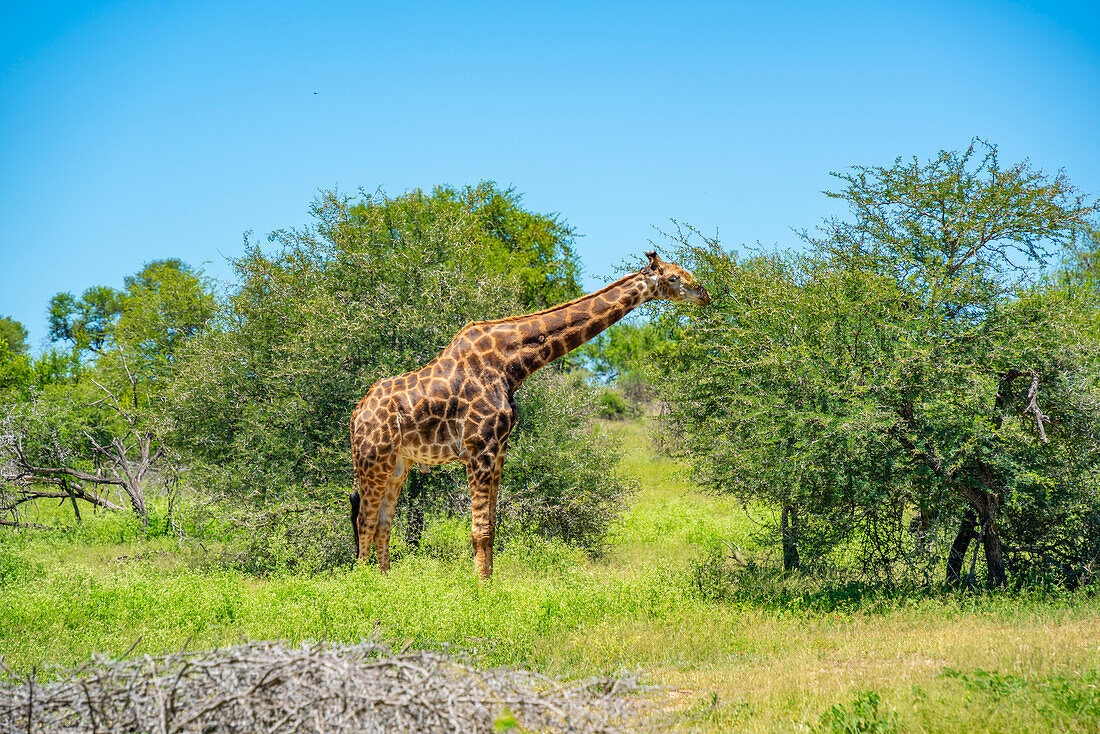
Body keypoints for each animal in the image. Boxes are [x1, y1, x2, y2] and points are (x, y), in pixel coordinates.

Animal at [352, 253, 712, 581]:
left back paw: (385, 581)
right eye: (674, 277)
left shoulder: (499, 449)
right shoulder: (479, 448)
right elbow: (479, 531)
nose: (704, 292)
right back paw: (363, 586)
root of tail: (356, 414)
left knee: (383, 521)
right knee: (364, 519)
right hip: (374, 457)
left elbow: (492, 527)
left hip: (399, 463)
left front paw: (491, 584)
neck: (512, 364)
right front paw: (480, 591)